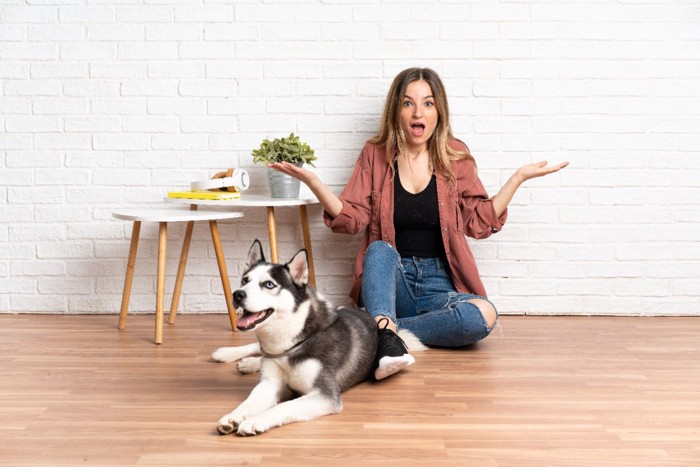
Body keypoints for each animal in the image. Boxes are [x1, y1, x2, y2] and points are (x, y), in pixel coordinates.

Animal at [212, 241, 378, 438]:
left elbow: (283, 406)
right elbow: (249, 402)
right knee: (258, 348)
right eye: (245, 280)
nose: (237, 294)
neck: (292, 343)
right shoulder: (270, 383)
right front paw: (233, 416)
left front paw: (255, 420)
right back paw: (228, 355)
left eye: (269, 284)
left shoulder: (324, 395)